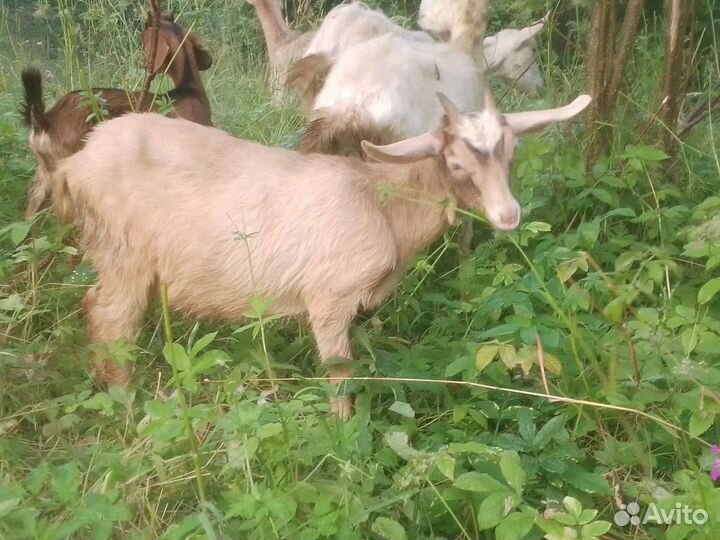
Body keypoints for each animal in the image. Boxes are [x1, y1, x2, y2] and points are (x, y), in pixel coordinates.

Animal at [52, 92, 590, 418]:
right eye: (456, 163)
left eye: (512, 153)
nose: (508, 215)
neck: (381, 202)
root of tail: (71, 167)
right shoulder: (328, 297)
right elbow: (339, 374)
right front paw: (346, 436)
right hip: (123, 252)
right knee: (111, 317)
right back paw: (125, 400)